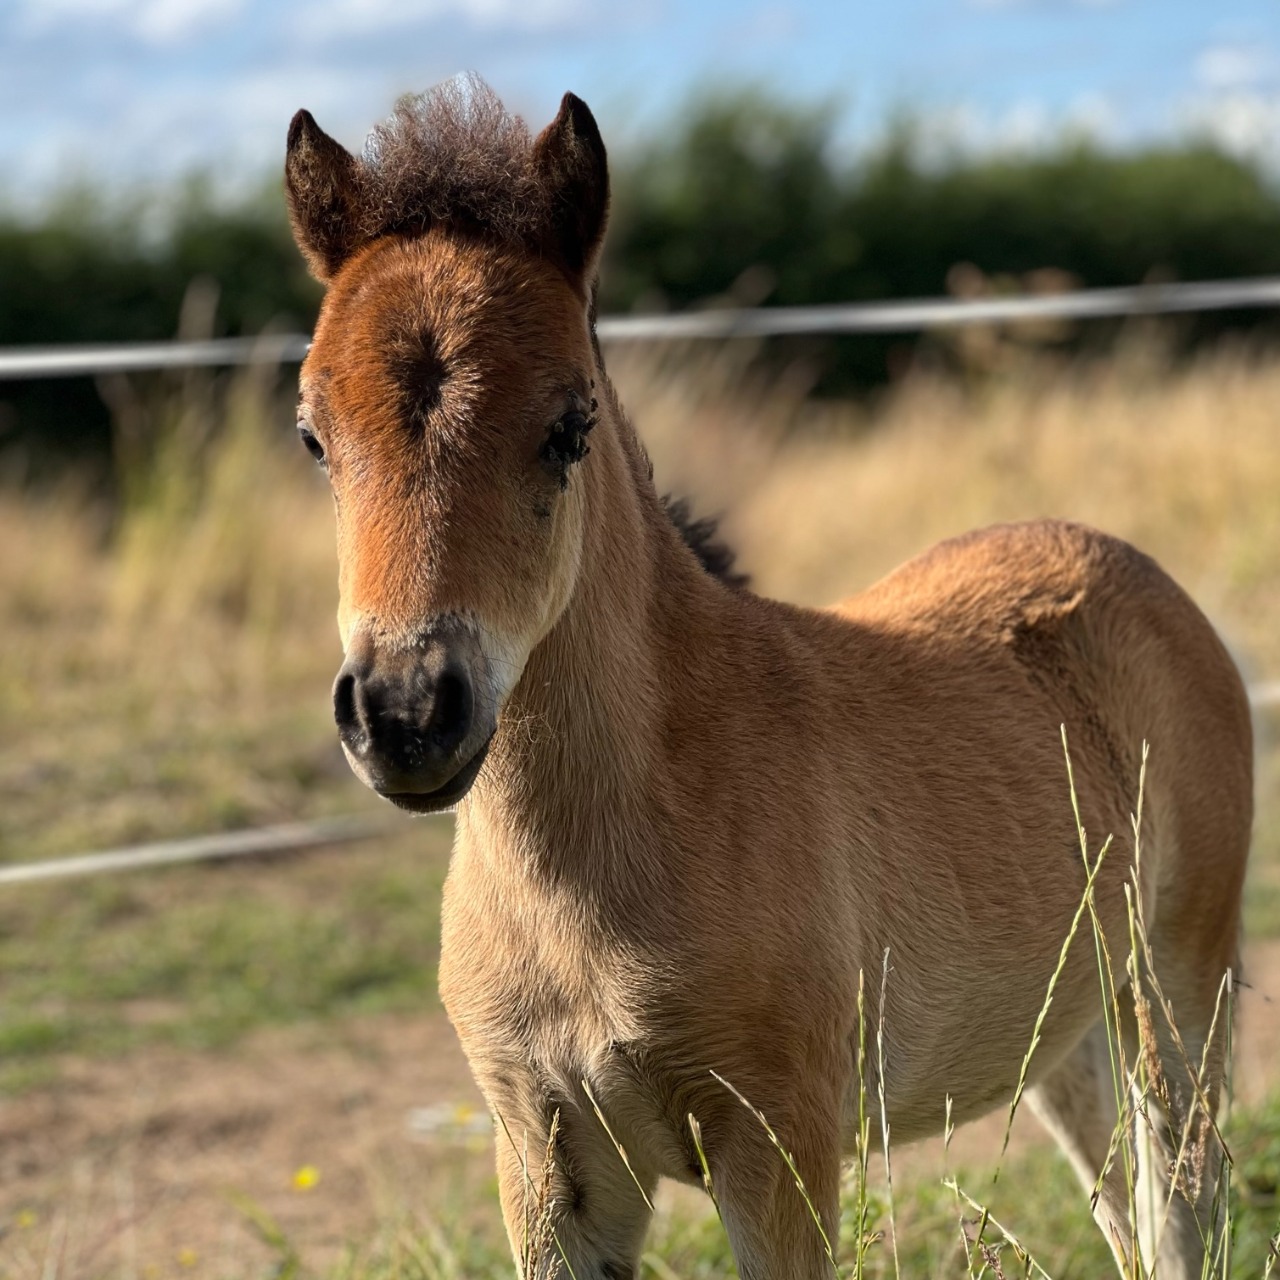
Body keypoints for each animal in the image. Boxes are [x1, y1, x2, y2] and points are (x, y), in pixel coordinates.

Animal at [284, 76, 1252, 1279]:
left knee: (1184, 1196)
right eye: (313, 436)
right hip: (1063, 1017)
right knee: (1122, 1204)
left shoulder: (777, 1142)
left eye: (569, 426)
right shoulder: (544, 1159)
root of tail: (1127, 563)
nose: (407, 710)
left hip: (1177, 985)